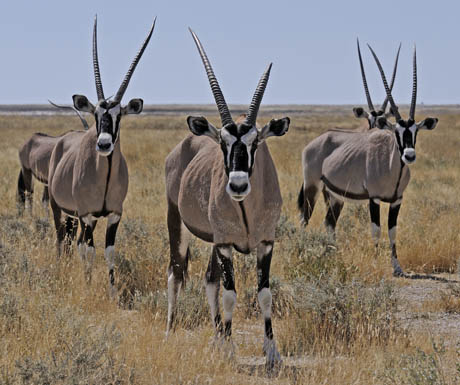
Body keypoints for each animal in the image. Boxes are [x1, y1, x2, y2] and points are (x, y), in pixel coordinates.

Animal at [47, 16, 155, 290]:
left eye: (119, 115)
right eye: (96, 114)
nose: (104, 144)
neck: (103, 176)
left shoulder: (113, 214)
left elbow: (108, 252)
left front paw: (112, 290)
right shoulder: (87, 215)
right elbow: (90, 251)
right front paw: (87, 285)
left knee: (74, 241)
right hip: (59, 207)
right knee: (62, 238)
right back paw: (61, 269)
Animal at [164, 28, 290, 368]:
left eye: (255, 142)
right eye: (222, 142)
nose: (237, 185)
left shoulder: (265, 242)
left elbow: (264, 293)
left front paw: (271, 352)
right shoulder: (225, 246)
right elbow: (230, 294)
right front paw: (231, 350)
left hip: (212, 239)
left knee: (209, 280)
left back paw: (217, 338)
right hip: (177, 222)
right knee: (176, 273)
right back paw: (170, 331)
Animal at [298, 43, 438, 274]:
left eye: (415, 131)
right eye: (397, 131)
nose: (409, 155)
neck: (392, 167)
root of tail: (316, 141)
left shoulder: (397, 200)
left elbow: (392, 231)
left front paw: (397, 267)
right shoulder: (374, 198)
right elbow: (376, 230)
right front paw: (374, 263)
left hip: (334, 195)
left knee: (330, 222)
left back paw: (333, 254)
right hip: (313, 186)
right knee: (304, 218)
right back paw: (301, 249)